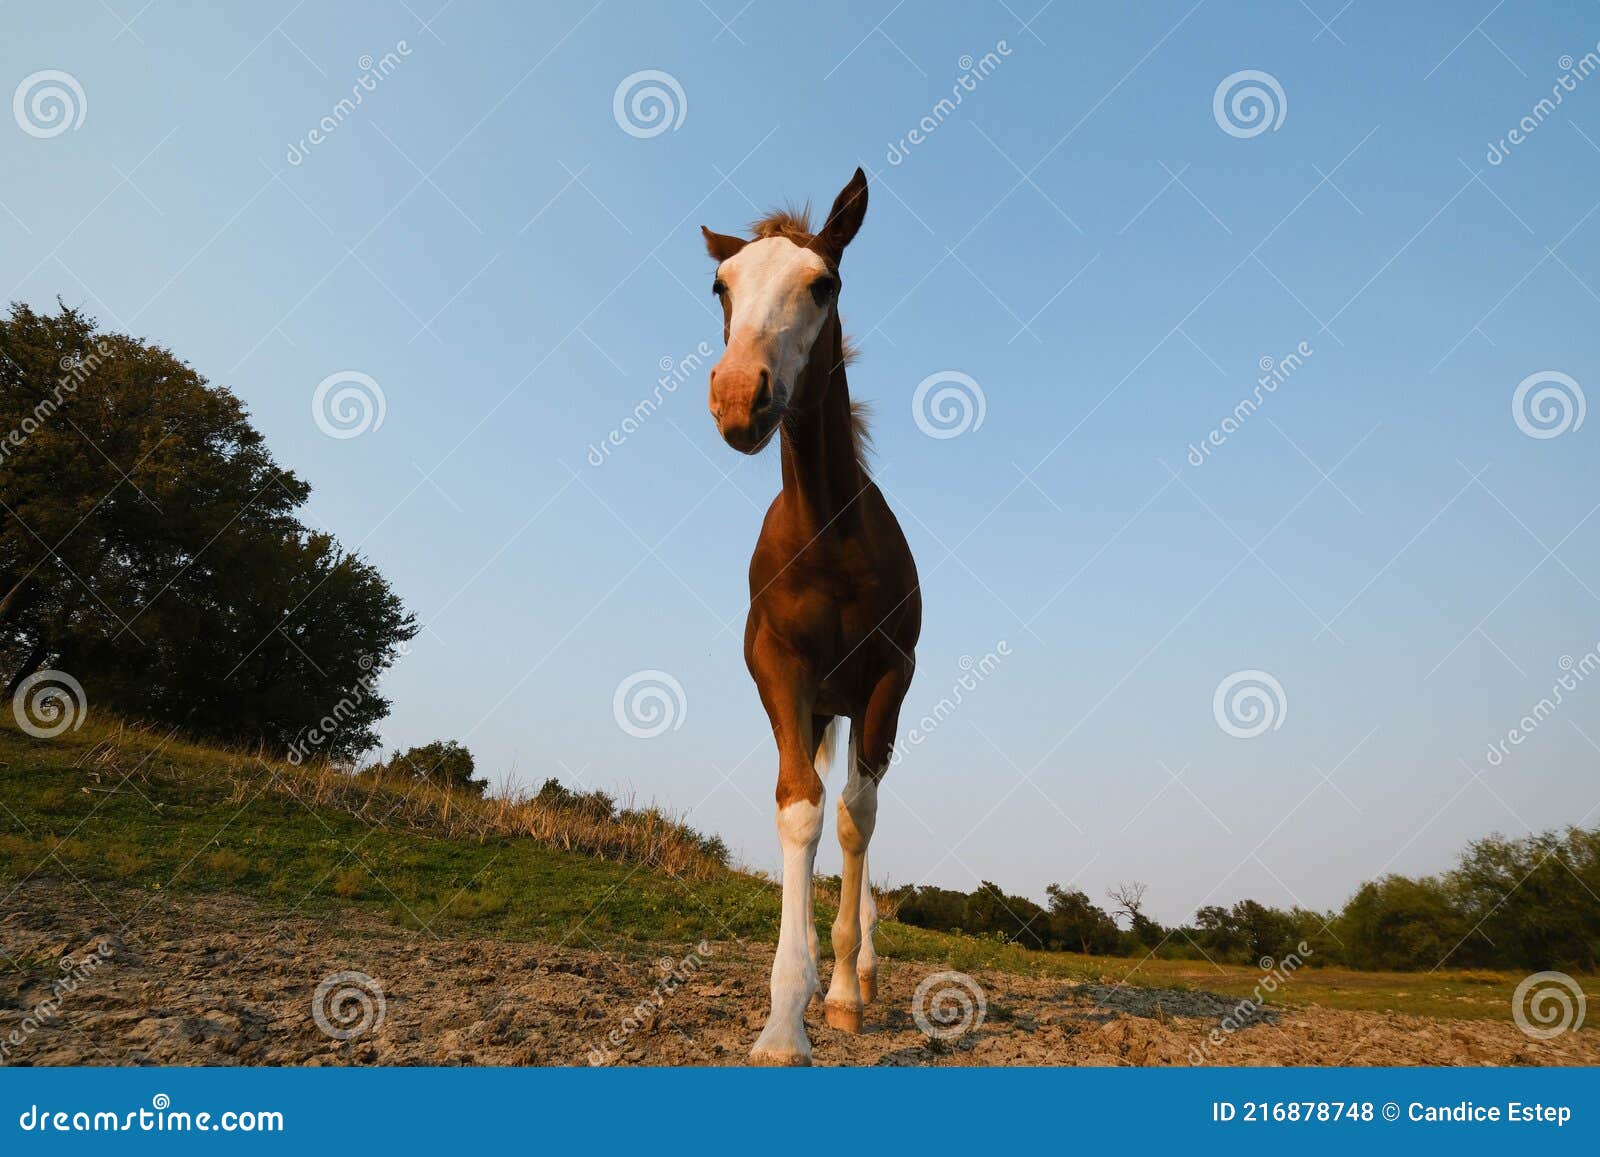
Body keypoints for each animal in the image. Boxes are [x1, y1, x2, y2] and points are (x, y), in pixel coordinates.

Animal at [704, 167, 928, 1062]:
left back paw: (860, 973)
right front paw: (781, 1020)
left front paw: (837, 993)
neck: (827, 535)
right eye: (721, 286)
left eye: (823, 283)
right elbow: (799, 806)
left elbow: (855, 818)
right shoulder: (777, 669)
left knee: (865, 808)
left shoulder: (888, 676)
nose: (739, 397)